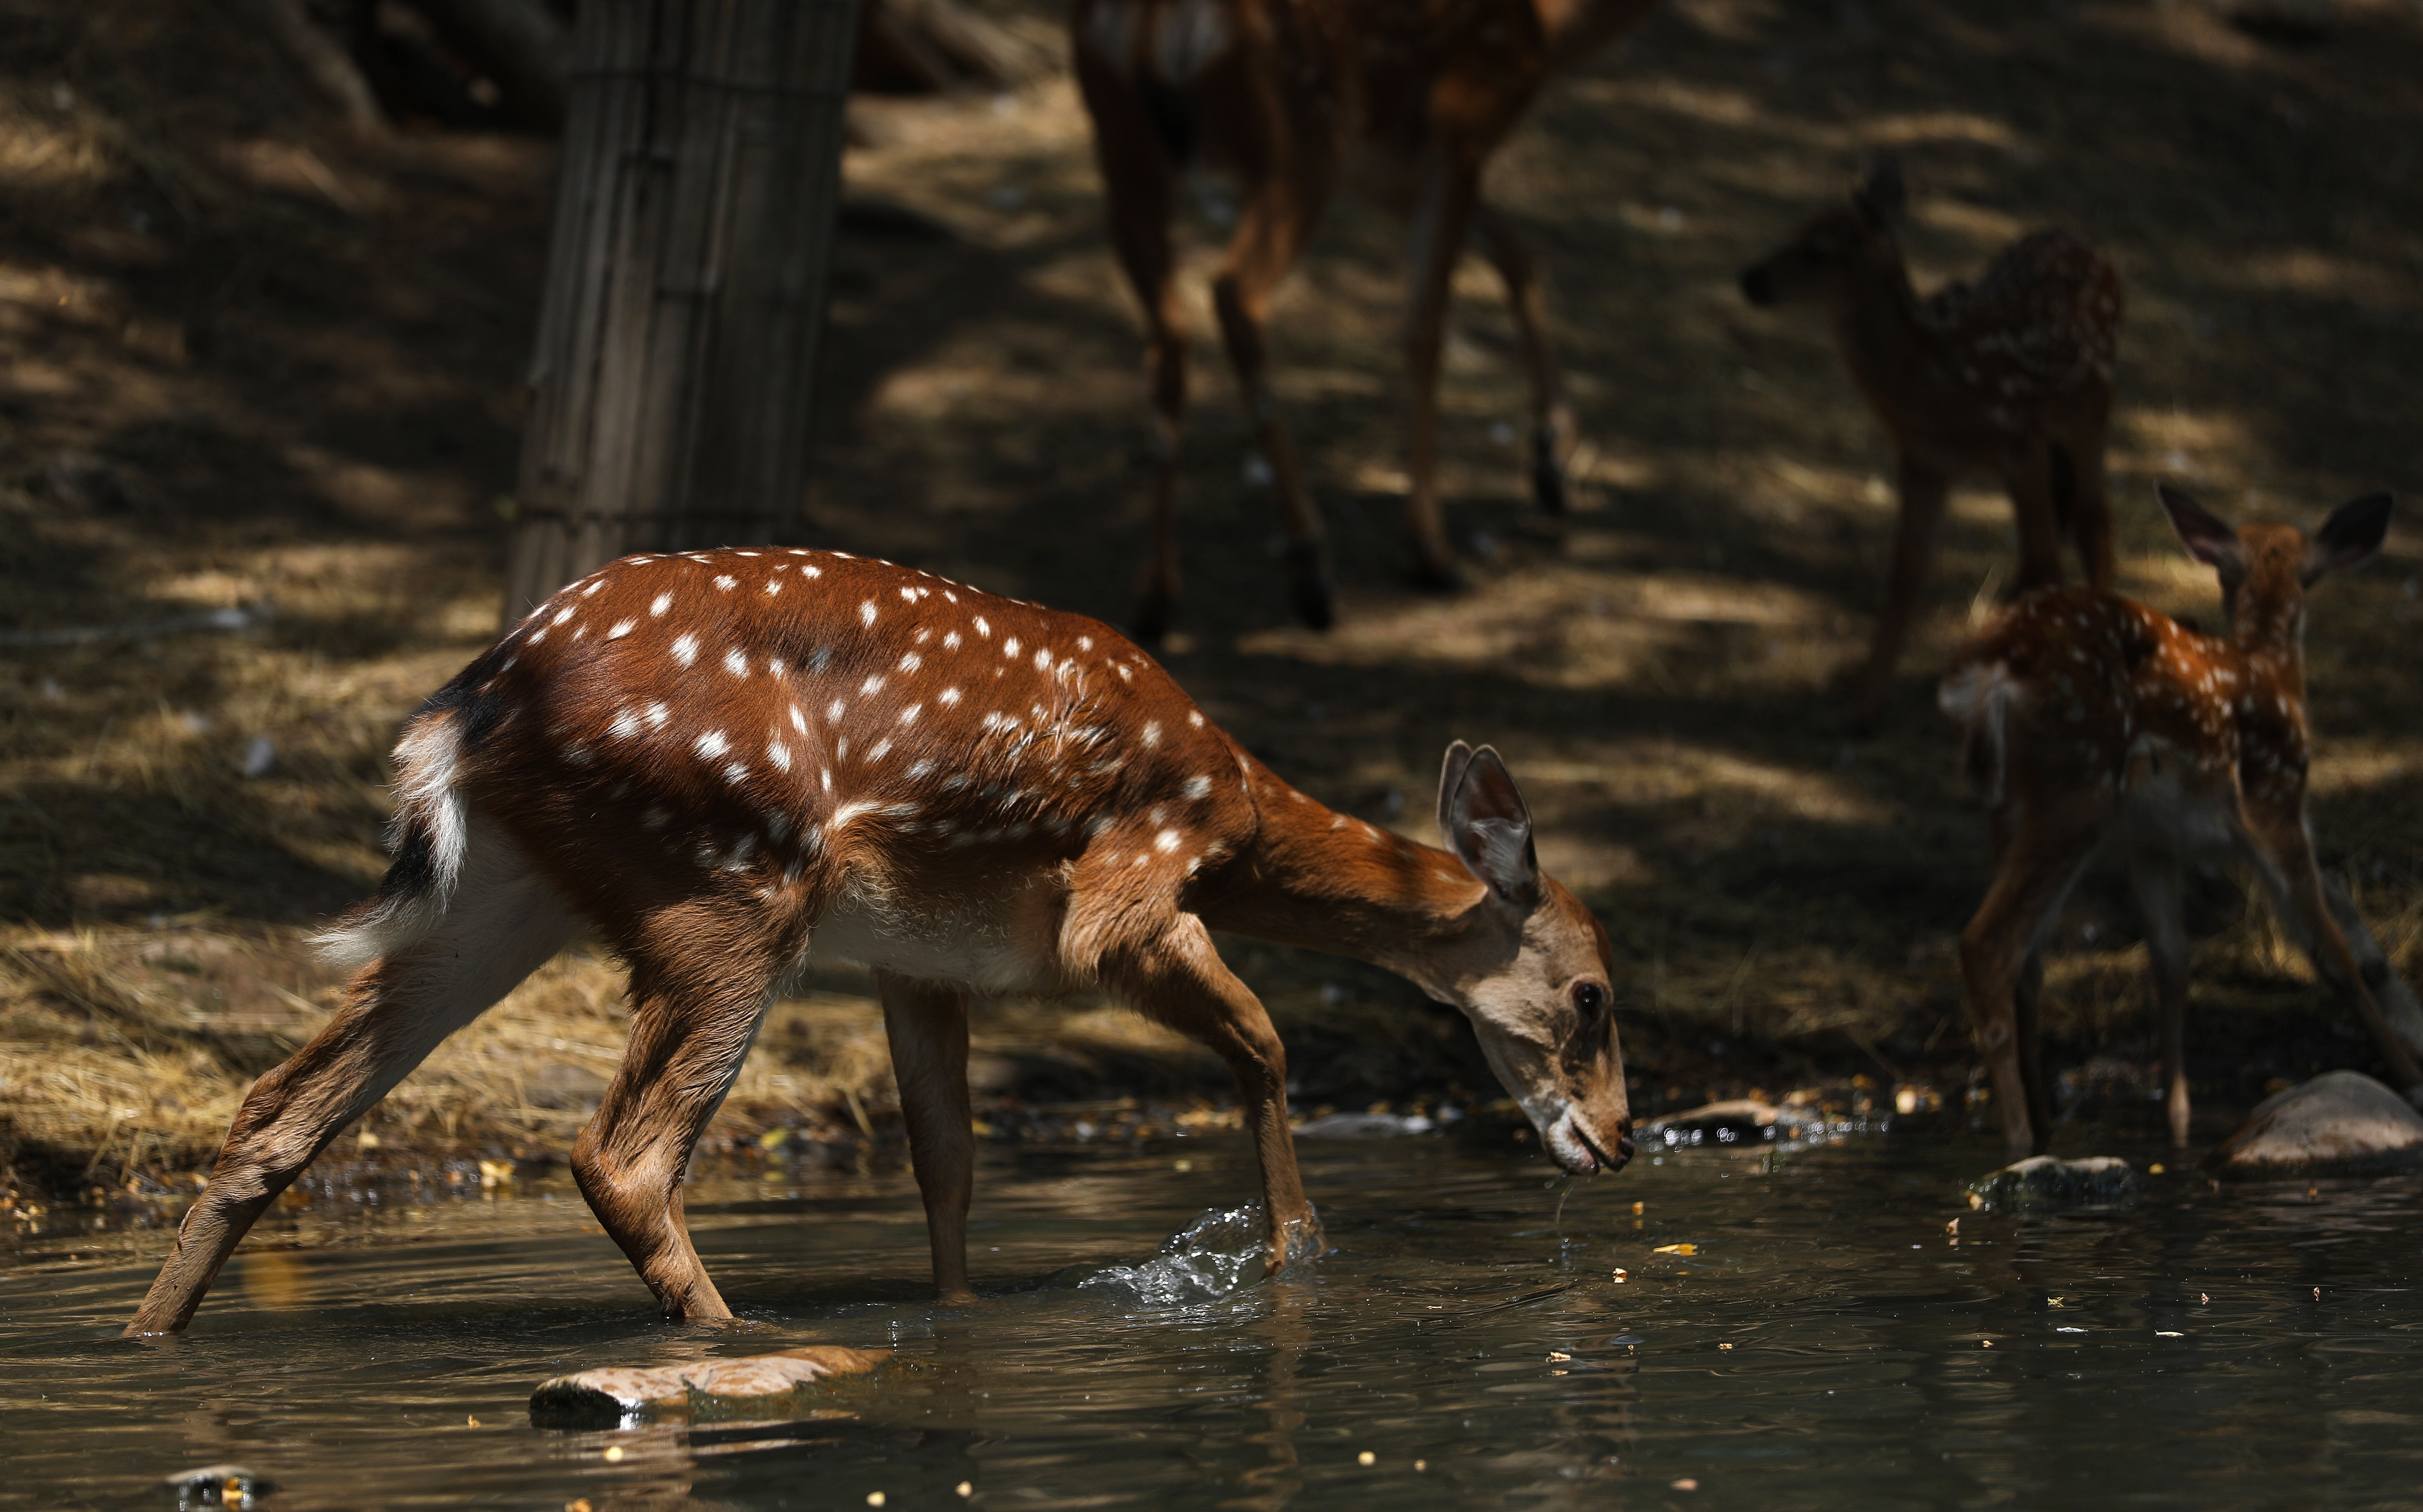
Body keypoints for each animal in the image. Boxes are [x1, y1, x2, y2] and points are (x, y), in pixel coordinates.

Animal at [123, 542, 1618, 1337]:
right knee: (621, 1152)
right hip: (735, 883)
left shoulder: (921, 959)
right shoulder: (1123, 890)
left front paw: (959, 1317)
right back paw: (732, 1338)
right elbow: (1263, 1043)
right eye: (1594, 997)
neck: (1236, 804)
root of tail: (463, 710)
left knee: (277, 1105)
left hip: (508, 895)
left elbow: (946, 1163)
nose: (1614, 1141)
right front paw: (1294, 1260)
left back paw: (151, 1338)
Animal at [1075, 0, 1667, 645]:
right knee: (1234, 293)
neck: (1551, 32)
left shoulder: (1387, 166)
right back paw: (1310, 567)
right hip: (1300, 135)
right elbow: (1426, 325)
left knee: (1166, 335)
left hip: (1123, 144)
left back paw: (1154, 599)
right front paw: (1431, 549)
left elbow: (1514, 252)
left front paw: (1553, 458)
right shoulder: (1460, 128)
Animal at [1745, 162, 2122, 732]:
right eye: (1798, 230)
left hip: (2091, 408)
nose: (1751, 280)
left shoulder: (2022, 443)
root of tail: (2089, 246)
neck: (1939, 384)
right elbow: (1908, 570)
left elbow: (2046, 564)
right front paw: (1864, 705)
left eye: (1818, 250)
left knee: (2091, 517)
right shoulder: (1924, 460)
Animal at [1938, 487, 2423, 1158]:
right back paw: (2016, 1140)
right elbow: (2332, 950)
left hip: (2012, 805)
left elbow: (2170, 961)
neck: (2271, 668)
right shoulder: (2274, 802)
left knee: (2027, 963)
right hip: (2078, 785)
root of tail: (1987, 668)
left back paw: (2042, 1127)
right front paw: (2407, 1078)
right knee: (1987, 943)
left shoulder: (2150, 841)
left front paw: (2177, 1127)